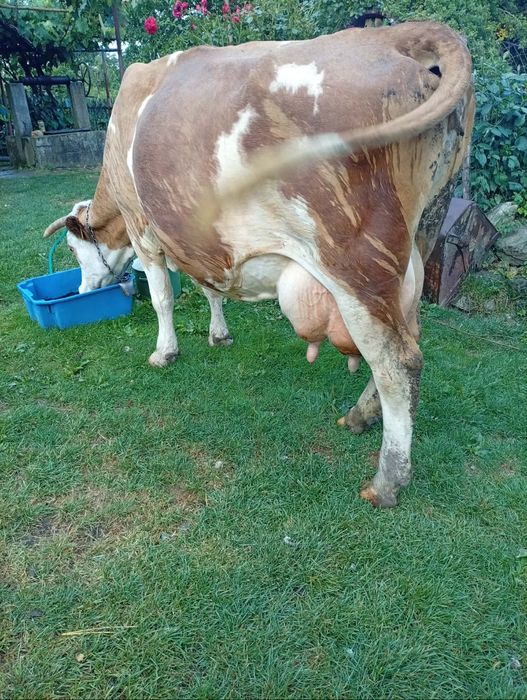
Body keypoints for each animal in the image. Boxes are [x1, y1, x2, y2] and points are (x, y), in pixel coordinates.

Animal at [43, 21, 474, 506]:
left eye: (73, 249)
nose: (81, 290)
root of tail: (397, 34)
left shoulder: (144, 229)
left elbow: (162, 299)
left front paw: (164, 352)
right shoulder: (199, 238)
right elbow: (209, 287)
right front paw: (219, 334)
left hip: (357, 263)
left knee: (396, 363)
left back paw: (387, 480)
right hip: (420, 240)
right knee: (411, 337)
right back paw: (360, 416)